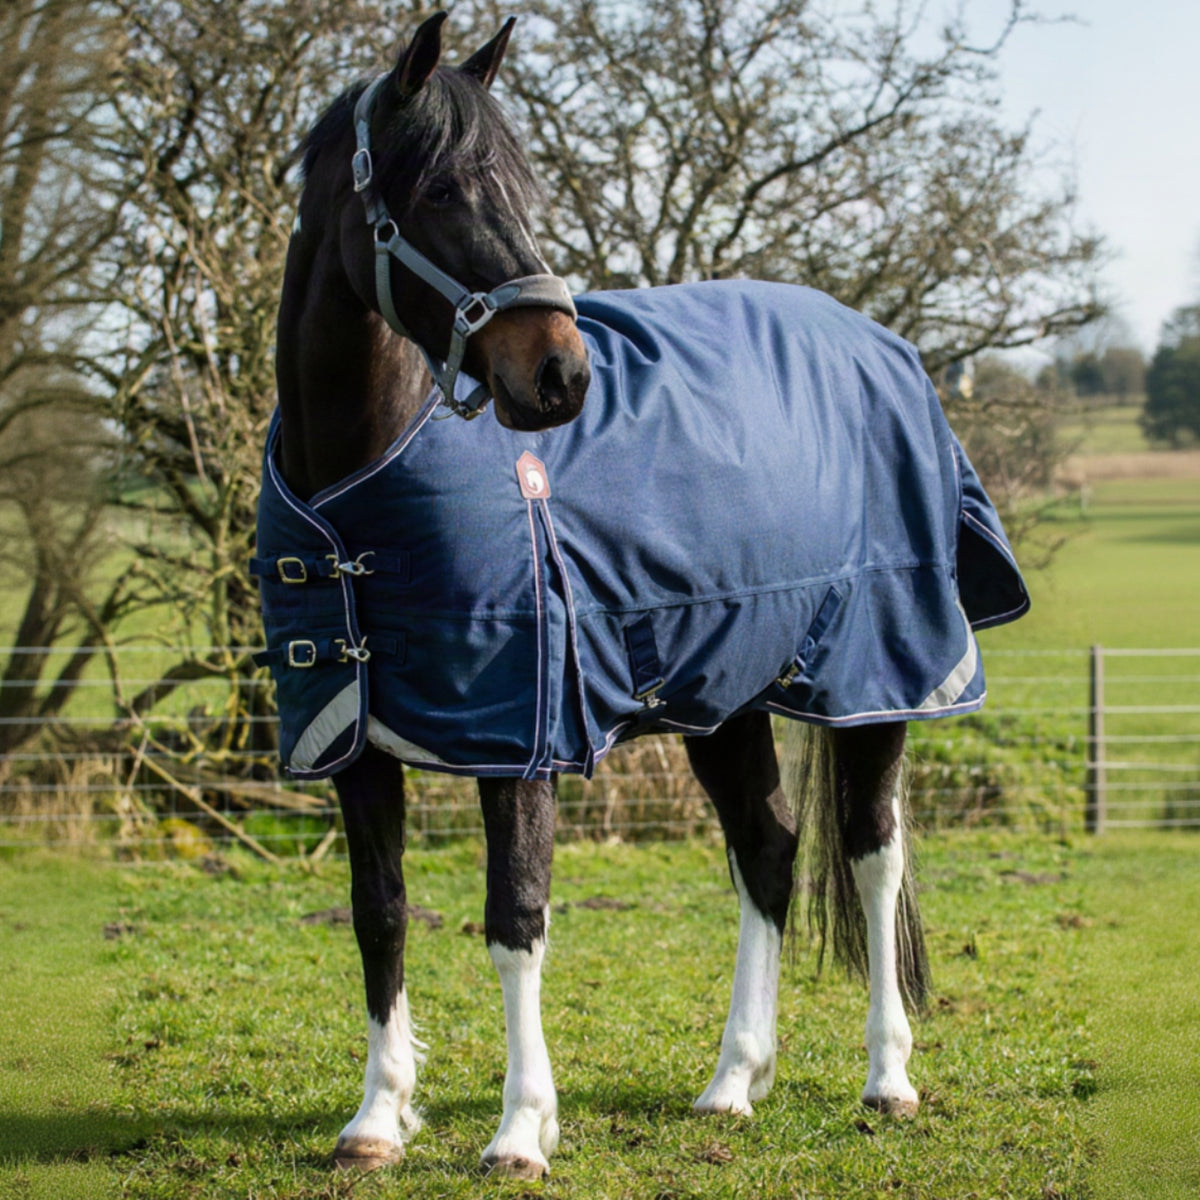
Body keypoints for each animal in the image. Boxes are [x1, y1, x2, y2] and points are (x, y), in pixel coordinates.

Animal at [260, 11, 1029, 1179]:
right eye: (437, 191)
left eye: (523, 190)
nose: (560, 376)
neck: (358, 484)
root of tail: (886, 348)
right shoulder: (347, 735)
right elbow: (378, 912)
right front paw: (377, 1120)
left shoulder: (520, 727)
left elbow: (515, 917)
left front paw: (520, 1132)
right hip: (726, 692)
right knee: (769, 849)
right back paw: (732, 1085)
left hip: (877, 681)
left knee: (873, 851)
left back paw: (888, 1079)